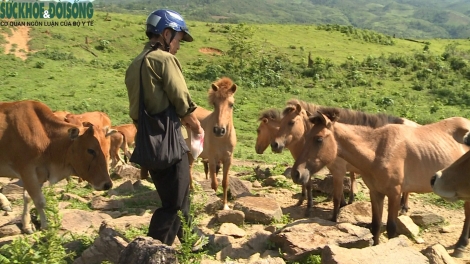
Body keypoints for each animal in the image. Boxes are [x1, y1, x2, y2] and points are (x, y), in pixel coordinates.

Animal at [0, 99, 115, 233]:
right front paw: (46, 226)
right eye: (91, 150)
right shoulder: (27, 170)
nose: (107, 184)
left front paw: (27, 225)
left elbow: (28, 197)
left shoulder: (38, 174)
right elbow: (39, 200)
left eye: (105, 150)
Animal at [186, 77, 237, 210]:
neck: (222, 139)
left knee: (189, 168)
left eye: (231, 104)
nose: (219, 130)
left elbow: (225, 183)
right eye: (214, 104)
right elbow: (214, 183)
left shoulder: (228, 159)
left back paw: (192, 190)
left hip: (191, 153)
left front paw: (225, 205)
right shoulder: (212, 159)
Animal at [270, 99, 420, 221]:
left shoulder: (338, 171)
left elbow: (336, 196)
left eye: (291, 122)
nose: (275, 144)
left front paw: (334, 217)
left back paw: (404, 207)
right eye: (280, 122)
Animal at [294, 108, 470, 249]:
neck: (378, 150)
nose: (296, 173)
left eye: (318, 139)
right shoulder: (375, 192)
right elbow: (376, 225)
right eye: (306, 137)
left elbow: (391, 228)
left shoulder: (394, 194)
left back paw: (460, 246)